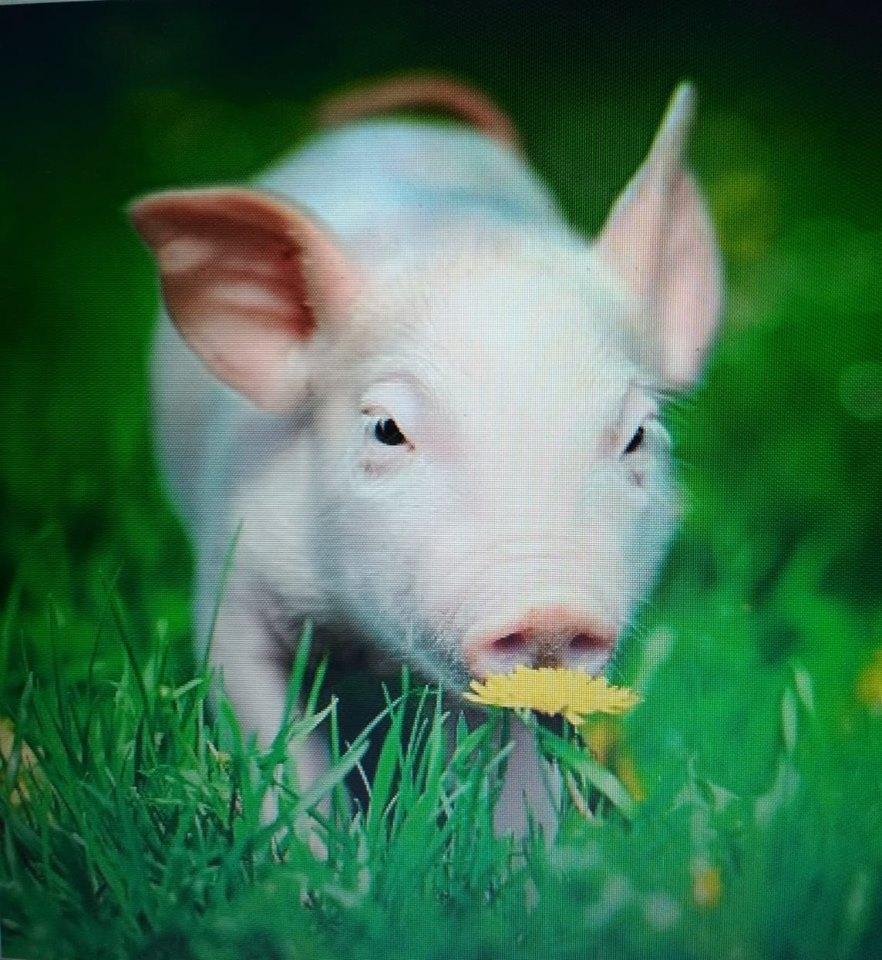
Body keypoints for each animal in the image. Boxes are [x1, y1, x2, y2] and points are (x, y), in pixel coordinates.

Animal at [129, 74, 722, 837]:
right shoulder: (235, 571)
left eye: (638, 435)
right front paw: (313, 859)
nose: (552, 611)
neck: (371, 645)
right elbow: (270, 733)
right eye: (388, 429)